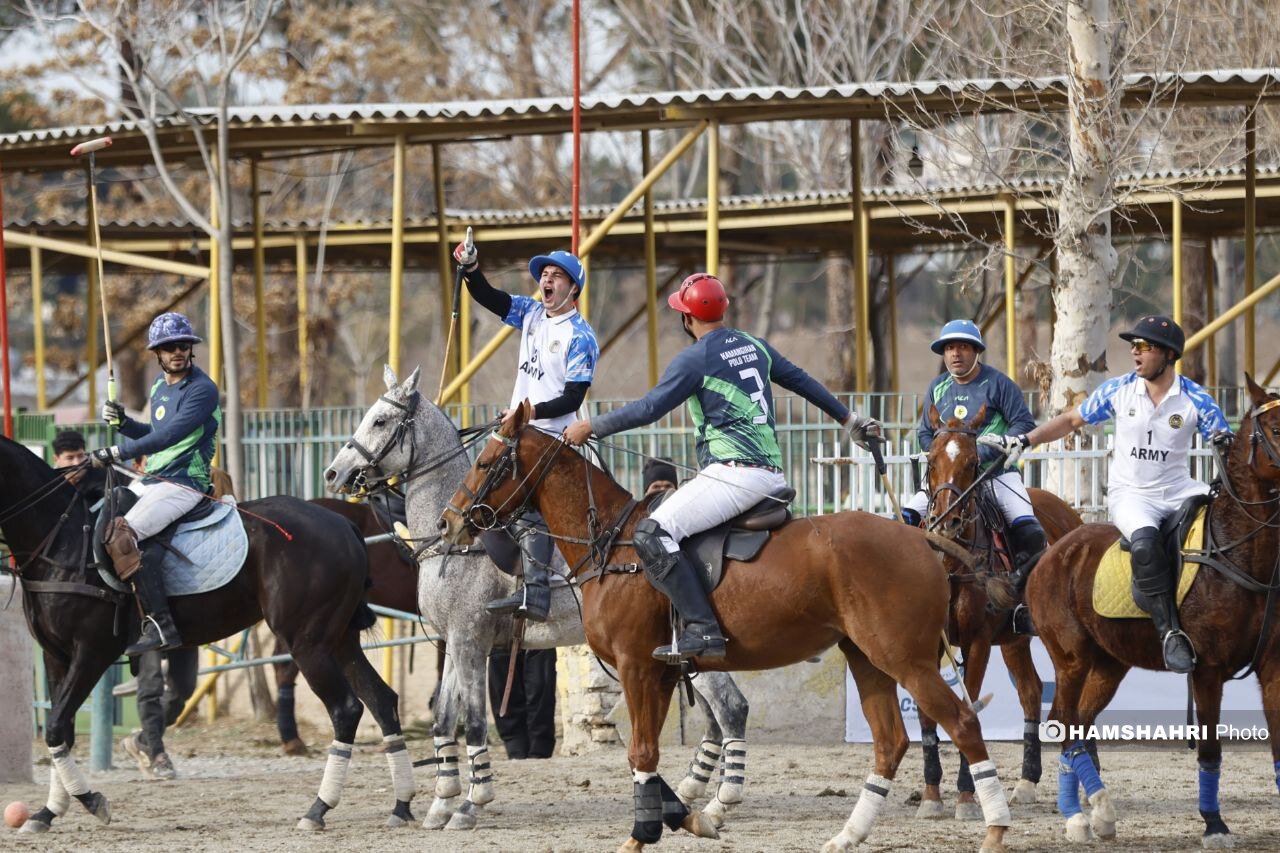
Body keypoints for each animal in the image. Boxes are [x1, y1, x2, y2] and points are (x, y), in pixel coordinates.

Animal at [1, 435, 414, 835]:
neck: (64, 542)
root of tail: (345, 525)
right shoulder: (57, 657)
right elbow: (63, 730)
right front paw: (46, 813)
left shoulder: (91, 653)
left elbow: (56, 727)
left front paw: (90, 801)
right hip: (338, 640)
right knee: (382, 701)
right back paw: (401, 805)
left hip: (307, 642)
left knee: (346, 709)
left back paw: (318, 809)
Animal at [322, 366, 747, 829]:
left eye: (380, 420)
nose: (333, 473)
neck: (455, 546)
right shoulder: (454, 642)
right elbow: (443, 721)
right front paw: (440, 804)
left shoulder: (470, 641)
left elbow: (473, 723)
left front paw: (470, 804)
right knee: (715, 717)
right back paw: (691, 793)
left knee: (730, 709)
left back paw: (718, 804)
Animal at [435, 399, 1013, 850]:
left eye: (485, 461)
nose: (449, 521)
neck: (614, 545)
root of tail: (924, 538)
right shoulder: (662, 673)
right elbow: (645, 757)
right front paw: (691, 818)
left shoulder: (636, 666)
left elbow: (640, 752)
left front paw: (642, 834)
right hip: (867, 657)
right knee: (891, 741)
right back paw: (848, 835)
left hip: (904, 657)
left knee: (963, 722)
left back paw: (995, 827)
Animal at [916, 404, 1085, 819]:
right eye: (931, 459)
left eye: (974, 462)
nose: (949, 519)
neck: (953, 563)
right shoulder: (932, 643)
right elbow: (929, 711)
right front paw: (931, 795)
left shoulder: (976, 641)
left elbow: (969, 706)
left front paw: (966, 795)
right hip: (1013, 639)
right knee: (1031, 691)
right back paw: (1026, 783)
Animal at [1024, 373, 1280, 845]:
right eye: (1274, 428)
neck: (1241, 554)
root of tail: (1053, 551)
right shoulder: (1207, 669)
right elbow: (1210, 748)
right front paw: (1214, 824)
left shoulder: (1273, 665)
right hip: (1070, 657)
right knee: (1064, 722)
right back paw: (1076, 817)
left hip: (1109, 663)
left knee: (1080, 721)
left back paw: (1100, 812)